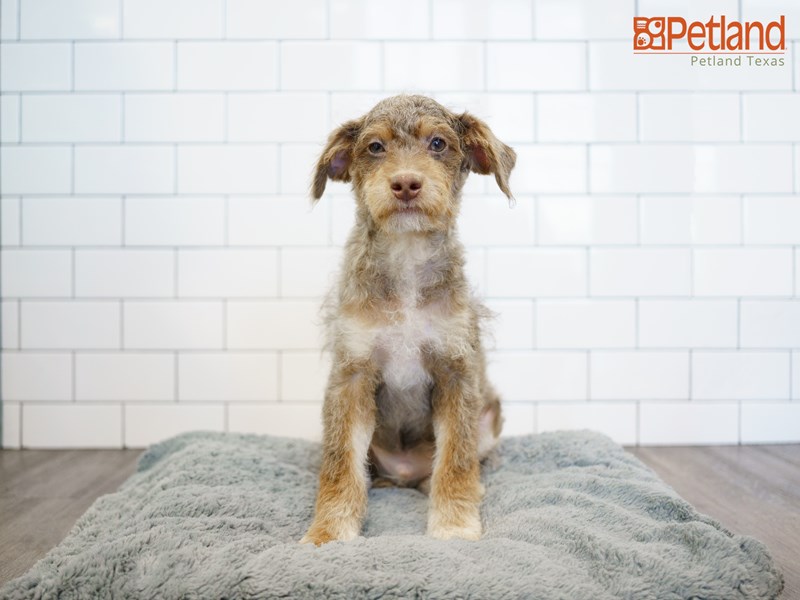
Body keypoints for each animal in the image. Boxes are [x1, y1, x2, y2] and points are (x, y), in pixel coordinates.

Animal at [302, 92, 520, 544]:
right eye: (374, 147)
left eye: (437, 143)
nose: (405, 183)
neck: (406, 258)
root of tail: (405, 475)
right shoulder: (351, 378)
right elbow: (340, 462)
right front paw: (328, 532)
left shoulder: (456, 373)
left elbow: (456, 457)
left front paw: (454, 526)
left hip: (489, 416)